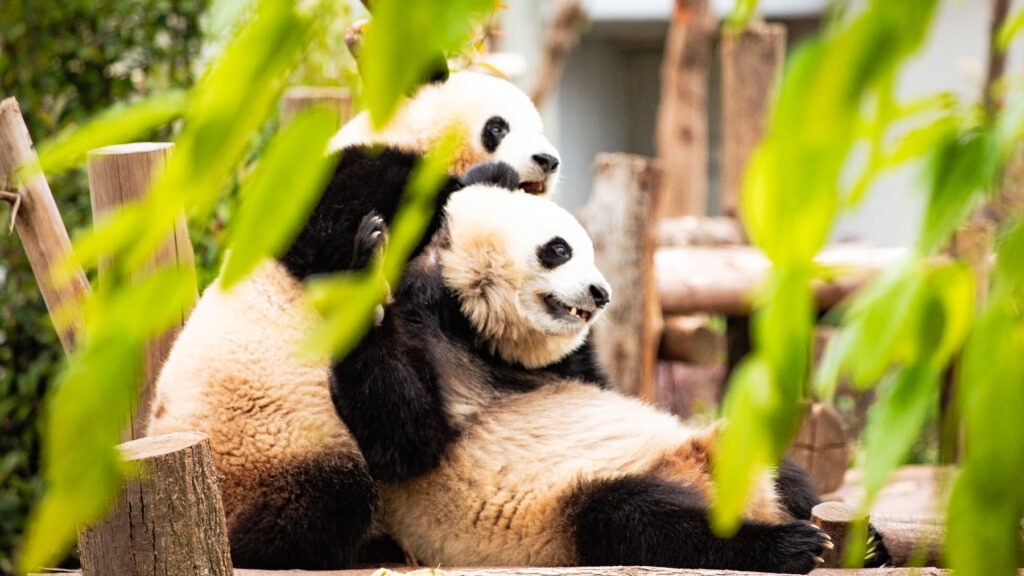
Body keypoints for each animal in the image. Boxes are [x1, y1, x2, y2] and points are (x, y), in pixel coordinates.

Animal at [147, 71, 568, 569]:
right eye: (497, 126)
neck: (405, 130)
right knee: (328, 499)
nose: (548, 160)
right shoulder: (334, 186)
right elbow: (349, 222)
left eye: (541, 126)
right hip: (266, 445)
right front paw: (484, 181)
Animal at [330, 165, 845, 574]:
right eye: (559, 250)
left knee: (788, 475)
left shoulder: (567, 364)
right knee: (639, 520)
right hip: (564, 509)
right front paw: (368, 270)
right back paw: (789, 545)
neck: (475, 325)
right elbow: (403, 440)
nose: (602, 294)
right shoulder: (429, 328)